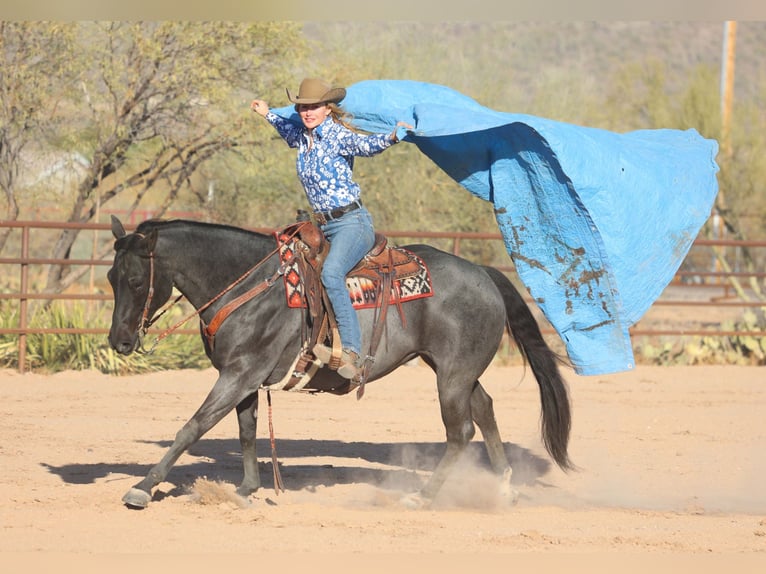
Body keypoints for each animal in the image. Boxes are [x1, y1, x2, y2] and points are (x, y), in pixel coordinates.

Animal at [108, 215, 576, 508]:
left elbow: (193, 427)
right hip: (453, 371)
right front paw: (247, 489)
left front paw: (142, 488)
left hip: (453, 376)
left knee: (460, 431)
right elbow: (246, 432)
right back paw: (504, 489)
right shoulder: (244, 376)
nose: (119, 341)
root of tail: (484, 273)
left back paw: (422, 496)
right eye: (111, 278)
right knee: (485, 410)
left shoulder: (239, 373)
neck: (252, 284)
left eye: (135, 279)